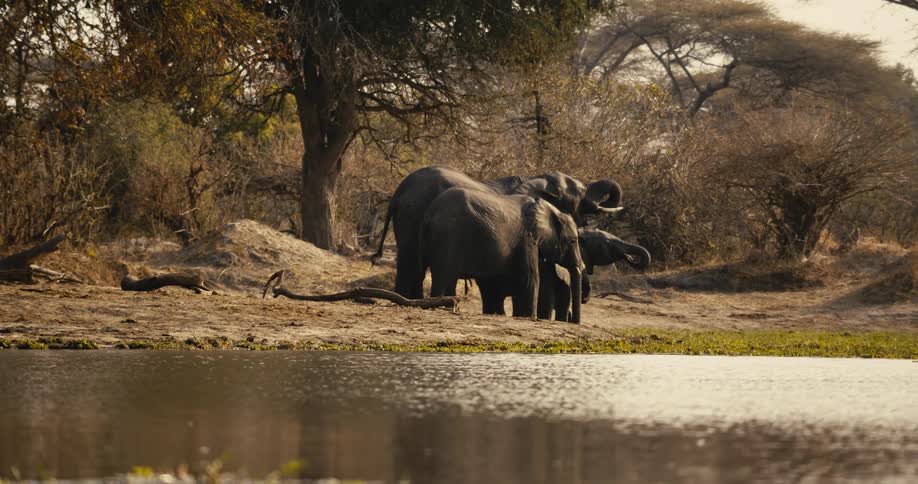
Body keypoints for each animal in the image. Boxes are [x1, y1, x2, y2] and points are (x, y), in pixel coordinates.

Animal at [420, 187, 585, 322]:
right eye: (573, 241)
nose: (573, 322)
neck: (551, 209)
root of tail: (431, 213)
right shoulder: (527, 238)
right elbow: (530, 278)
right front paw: (530, 318)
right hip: (448, 235)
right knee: (443, 276)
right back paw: (440, 306)